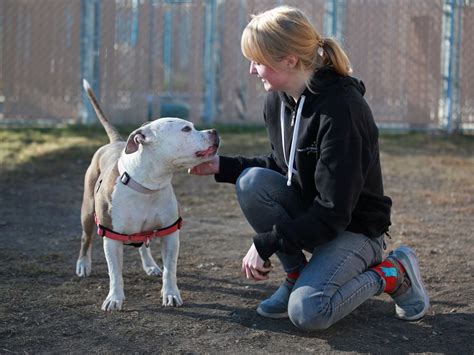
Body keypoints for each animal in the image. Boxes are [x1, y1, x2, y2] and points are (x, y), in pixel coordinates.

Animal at [76, 80, 220, 312]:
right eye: (186, 128)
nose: (214, 131)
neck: (148, 185)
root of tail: (114, 141)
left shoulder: (170, 234)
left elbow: (170, 270)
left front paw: (170, 294)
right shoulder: (111, 237)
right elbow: (115, 273)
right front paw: (114, 298)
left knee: (142, 243)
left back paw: (150, 265)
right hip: (88, 211)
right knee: (85, 238)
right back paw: (83, 264)